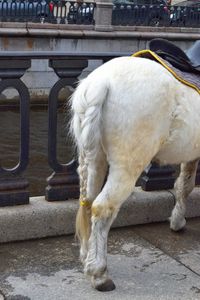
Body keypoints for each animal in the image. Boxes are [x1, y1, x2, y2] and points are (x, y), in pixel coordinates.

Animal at [70, 55, 200, 290]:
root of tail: (99, 83)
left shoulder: (192, 152)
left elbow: (184, 185)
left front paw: (177, 221)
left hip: (93, 158)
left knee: (88, 201)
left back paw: (87, 255)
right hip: (127, 165)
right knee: (103, 207)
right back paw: (99, 272)